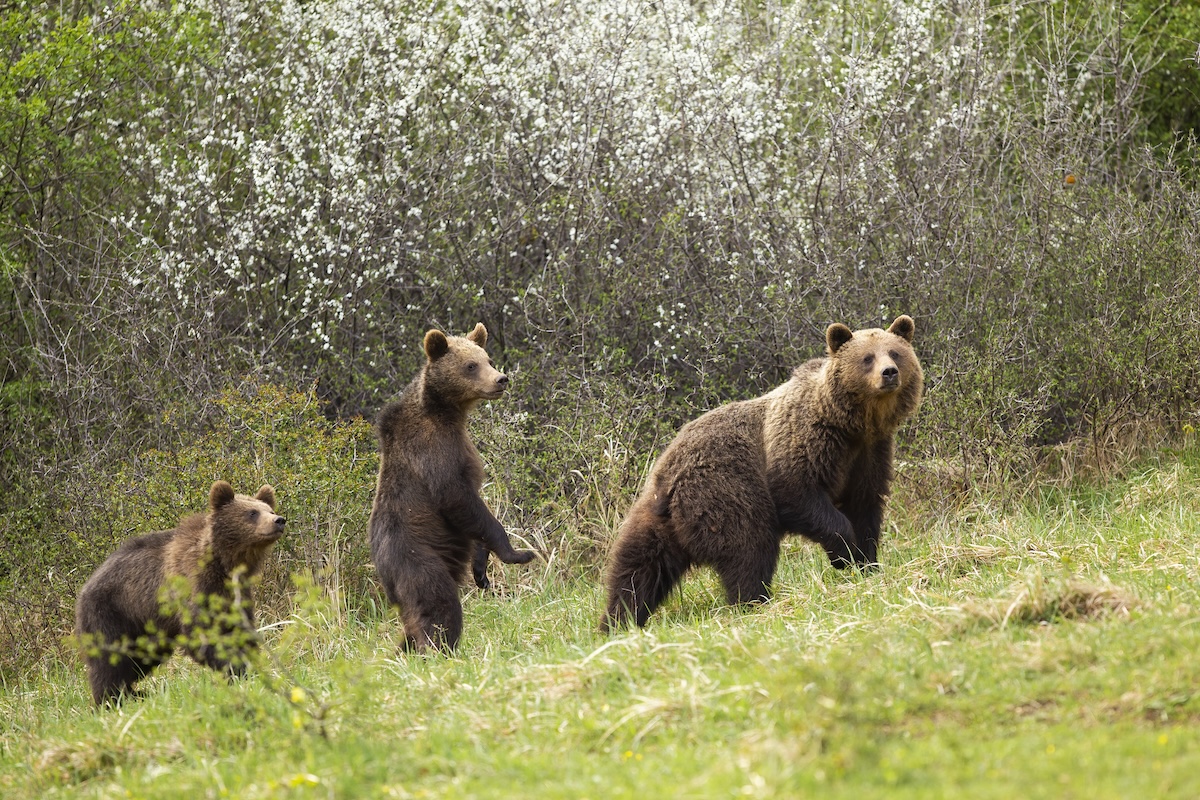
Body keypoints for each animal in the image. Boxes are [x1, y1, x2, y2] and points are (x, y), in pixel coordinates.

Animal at [75, 481, 286, 705]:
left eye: (270, 510)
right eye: (252, 513)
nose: (279, 520)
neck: (224, 564)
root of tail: (85, 586)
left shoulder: (233, 595)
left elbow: (238, 629)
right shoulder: (194, 587)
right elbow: (203, 635)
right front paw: (237, 669)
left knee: (140, 657)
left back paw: (133, 693)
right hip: (110, 612)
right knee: (108, 659)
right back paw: (111, 699)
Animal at [369, 322, 537, 652]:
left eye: (488, 359)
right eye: (470, 365)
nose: (501, 379)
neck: (447, 412)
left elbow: (474, 514)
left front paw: (481, 569)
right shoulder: (433, 449)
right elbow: (458, 498)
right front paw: (518, 553)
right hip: (416, 559)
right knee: (438, 604)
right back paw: (437, 648)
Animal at [600, 315, 923, 631]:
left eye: (895, 352)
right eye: (867, 358)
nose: (889, 372)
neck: (852, 424)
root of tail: (670, 478)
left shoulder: (870, 454)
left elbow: (865, 505)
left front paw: (867, 563)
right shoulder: (803, 440)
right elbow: (797, 492)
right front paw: (844, 553)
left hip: (653, 516)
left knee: (637, 567)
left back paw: (618, 620)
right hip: (725, 492)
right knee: (749, 549)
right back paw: (754, 602)